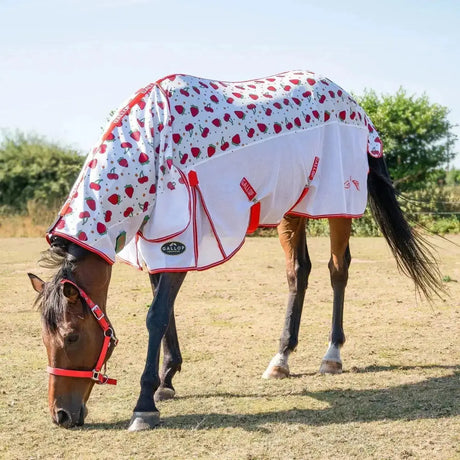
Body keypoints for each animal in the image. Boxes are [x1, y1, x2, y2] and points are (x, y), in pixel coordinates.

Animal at [27, 70, 442, 430]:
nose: (61, 415)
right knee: (298, 272)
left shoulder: (181, 243)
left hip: (337, 204)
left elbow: (156, 316)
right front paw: (167, 379)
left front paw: (145, 405)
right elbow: (165, 312)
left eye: (72, 336)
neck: (152, 145)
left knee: (337, 268)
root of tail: (355, 105)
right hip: (292, 208)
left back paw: (332, 355)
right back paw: (281, 359)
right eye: (44, 338)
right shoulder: (157, 243)